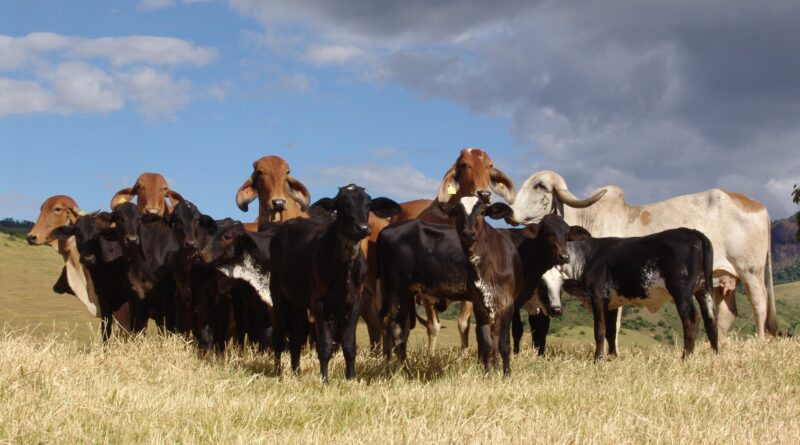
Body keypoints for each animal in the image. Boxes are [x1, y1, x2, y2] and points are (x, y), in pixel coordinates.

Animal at [269, 185, 401, 382]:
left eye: (368, 205)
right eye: (343, 204)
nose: (362, 228)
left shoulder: (355, 302)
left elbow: (349, 344)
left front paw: (351, 378)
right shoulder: (319, 303)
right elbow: (324, 345)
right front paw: (324, 379)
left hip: (298, 302)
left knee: (296, 337)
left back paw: (297, 372)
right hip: (279, 296)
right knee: (279, 335)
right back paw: (278, 372)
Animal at [389, 148, 518, 355]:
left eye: (490, 165)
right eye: (464, 165)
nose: (484, 193)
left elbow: (463, 324)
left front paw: (464, 355)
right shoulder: (427, 290)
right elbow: (433, 326)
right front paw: (430, 355)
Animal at [508, 170, 776, 342]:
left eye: (540, 186)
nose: (510, 212)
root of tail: (759, 207)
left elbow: (612, 326)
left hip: (751, 272)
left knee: (759, 305)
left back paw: (760, 343)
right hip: (721, 282)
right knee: (725, 316)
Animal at [558, 228, 719, 361]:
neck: (587, 256)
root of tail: (692, 232)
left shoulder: (597, 296)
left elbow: (600, 330)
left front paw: (598, 359)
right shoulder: (612, 303)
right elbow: (611, 332)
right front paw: (612, 357)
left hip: (682, 292)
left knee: (691, 320)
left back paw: (686, 358)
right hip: (703, 290)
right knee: (711, 320)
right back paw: (715, 357)